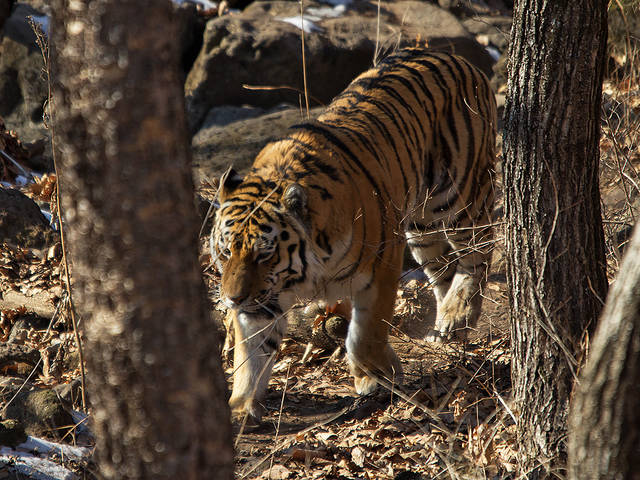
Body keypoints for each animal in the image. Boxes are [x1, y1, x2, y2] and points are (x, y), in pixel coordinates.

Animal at [211, 47, 497, 421]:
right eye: (225, 252)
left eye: (264, 254)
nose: (232, 299)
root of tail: (451, 55)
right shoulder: (262, 301)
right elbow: (251, 353)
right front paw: (241, 407)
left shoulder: (381, 266)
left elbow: (364, 335)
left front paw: (375, 377)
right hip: (421, 229)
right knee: (443, 268)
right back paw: (445, 329)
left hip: (460, 195)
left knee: (478, 251)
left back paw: (458, 313)